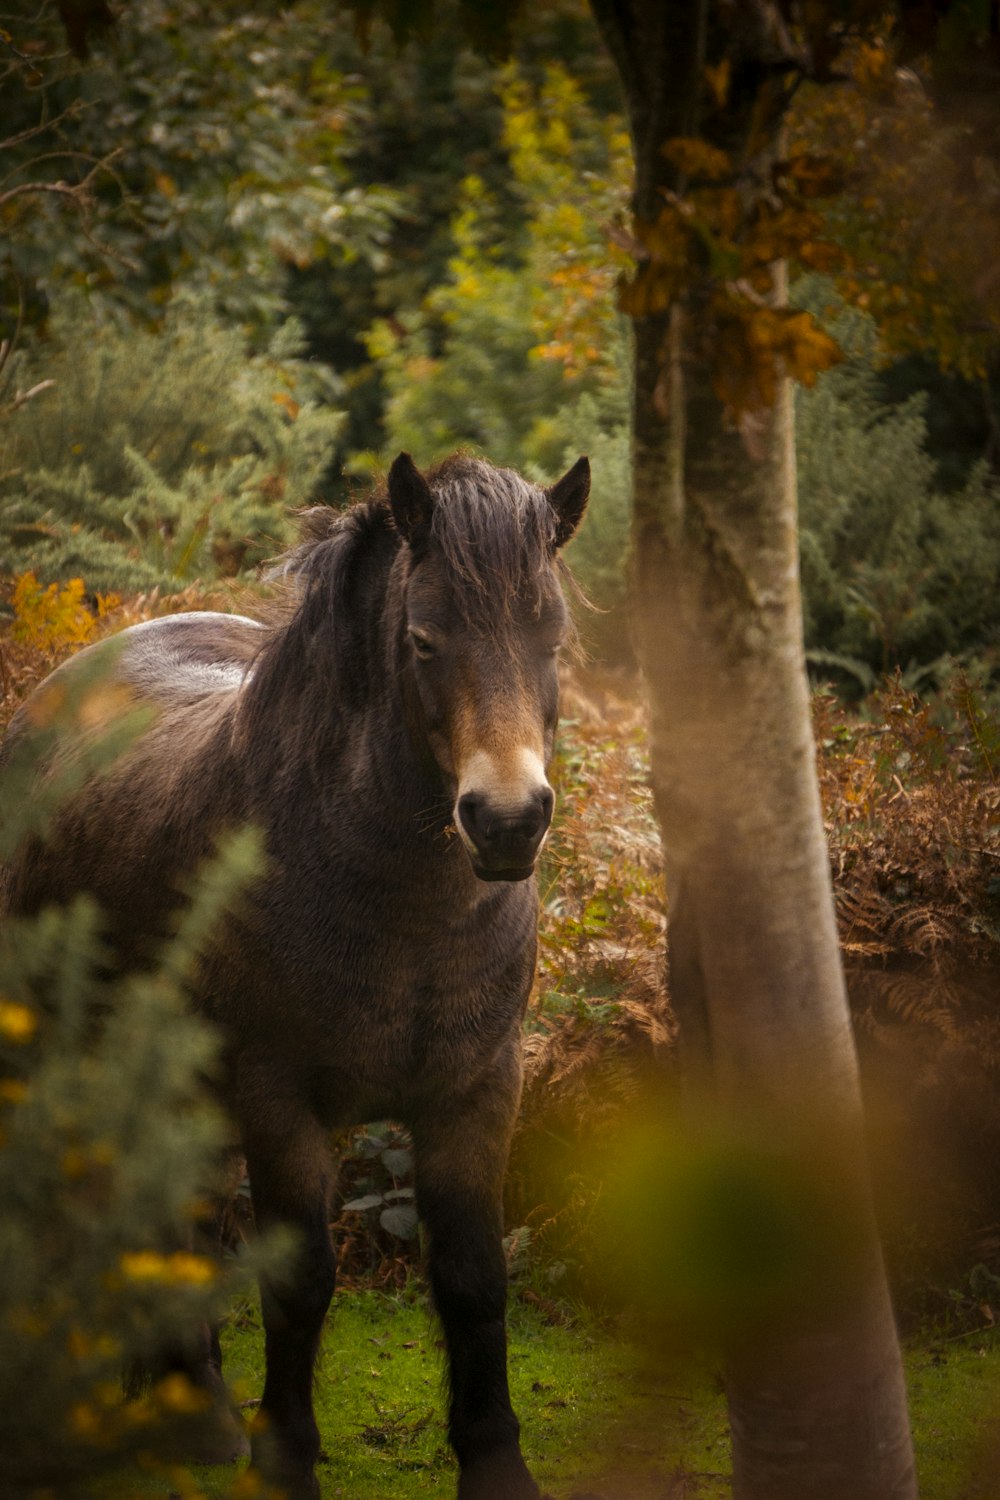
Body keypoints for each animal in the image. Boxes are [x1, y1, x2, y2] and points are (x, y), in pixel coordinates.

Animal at [1, 453, 587, 1500]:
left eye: (550, 638)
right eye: (424, 640)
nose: (509, 820)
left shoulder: (477, 1091)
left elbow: (475, 1278)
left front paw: (496, 1464)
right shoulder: (277, 1095)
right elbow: (300, 1279)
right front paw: (282, 1461)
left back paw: (195, 1410)